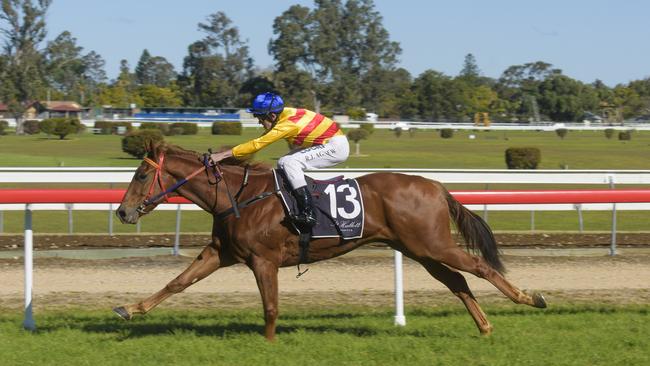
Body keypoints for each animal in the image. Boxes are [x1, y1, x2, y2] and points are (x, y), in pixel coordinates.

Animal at [114, 144, 544, 340]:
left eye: (140, 175)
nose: (122, 212)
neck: (237, 196)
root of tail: (435, 186)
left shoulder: (263, 260)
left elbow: (270, 306)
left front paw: (268, 344)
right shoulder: (222, 253)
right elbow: (177, 282)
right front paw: (129, 308)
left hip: (432, 244)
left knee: (480, 266)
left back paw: (529, 297)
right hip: (418, 249)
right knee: (457, 280)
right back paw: (485, 326)